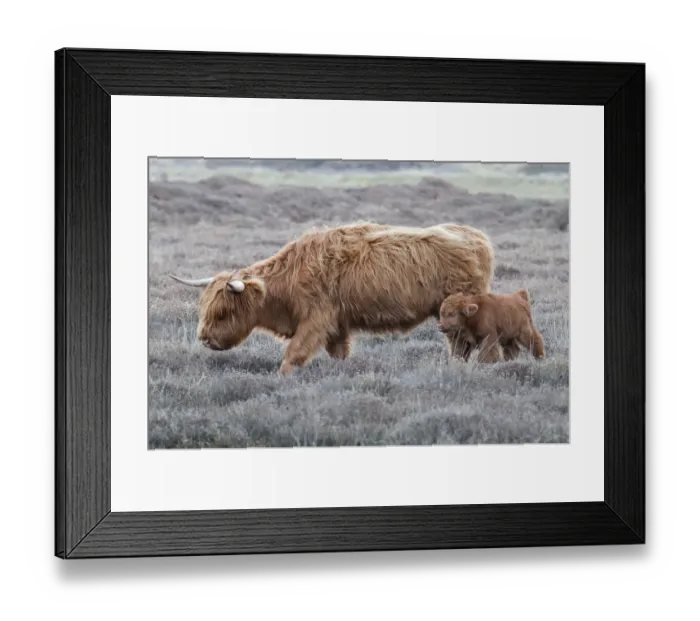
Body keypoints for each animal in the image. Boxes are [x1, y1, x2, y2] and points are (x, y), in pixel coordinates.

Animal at [169, 221, 494, 375]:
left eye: (223, 312)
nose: (205, 339)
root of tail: (478, 237)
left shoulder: (316, 319)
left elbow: (293, 355)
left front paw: (280, 379)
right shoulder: (337, 325)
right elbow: (339, 353)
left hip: (456, 315)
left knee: (462, 344)